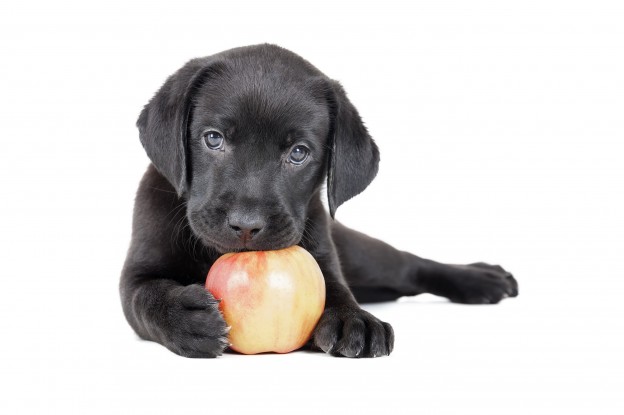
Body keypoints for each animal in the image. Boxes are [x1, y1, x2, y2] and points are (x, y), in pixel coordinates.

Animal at [119, 44, 520, 360]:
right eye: (213, 139)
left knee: (409, 266)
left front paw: (353, 319)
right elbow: (145, 298)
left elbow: (336, 288)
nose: (246, 224)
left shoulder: (324, 253)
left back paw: (482, 278)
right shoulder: (136, 274)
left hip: (363, 256)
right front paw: (184, 317)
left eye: (299, 153)